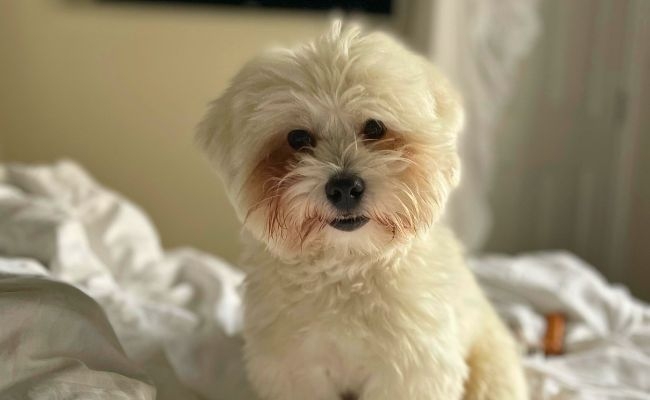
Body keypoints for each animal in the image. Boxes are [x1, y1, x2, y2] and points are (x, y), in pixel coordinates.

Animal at [197, 21, 528, 400]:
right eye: (297, 138)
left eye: (374, 128)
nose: (344, 187)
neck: (348, 266)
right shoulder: (295, 370)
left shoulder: (411, 369)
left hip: (491, 370)